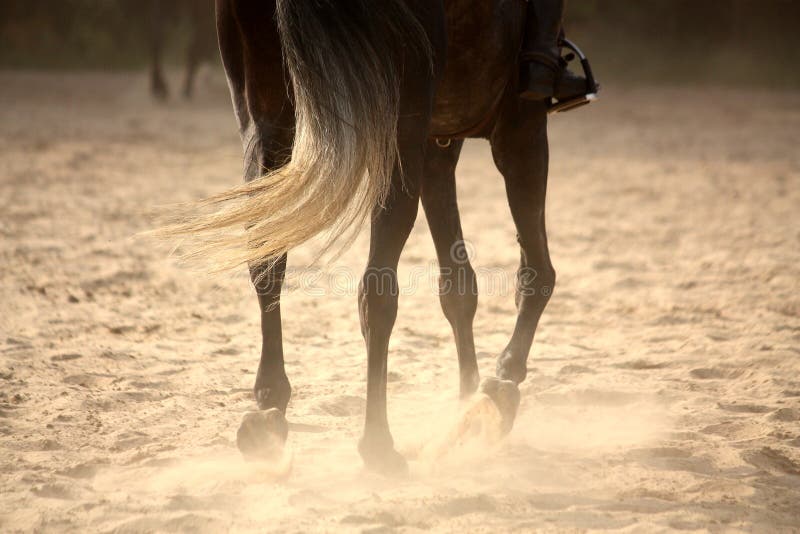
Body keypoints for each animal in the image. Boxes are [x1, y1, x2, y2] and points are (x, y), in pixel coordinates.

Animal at [167, 1, 556, 478]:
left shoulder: (438, 143)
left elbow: (458, 287)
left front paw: (468, 401)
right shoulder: (520, 126)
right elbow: (536, 272)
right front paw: (500, 385)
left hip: (267, 120)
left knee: (267, 264)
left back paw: (268, 411)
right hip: (402, 124)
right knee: (376, 289)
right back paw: (378, 443)